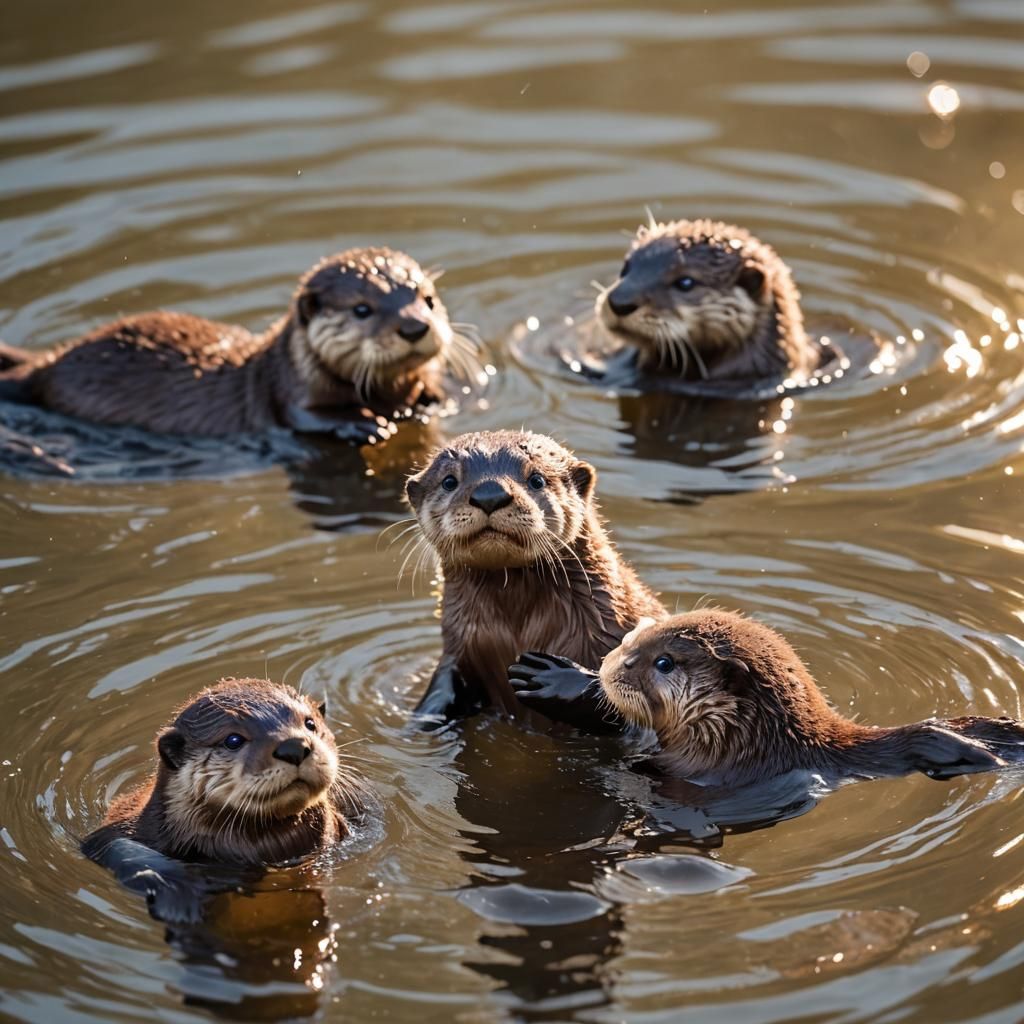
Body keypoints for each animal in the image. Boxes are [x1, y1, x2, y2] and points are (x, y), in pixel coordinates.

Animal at [0, 247, 480, 443]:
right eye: (363, 309)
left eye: (427, 299)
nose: (414, 326)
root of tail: (49, 361)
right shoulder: (288, 393)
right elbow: (301, 417)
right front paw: (362, 424)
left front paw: (434, 395)